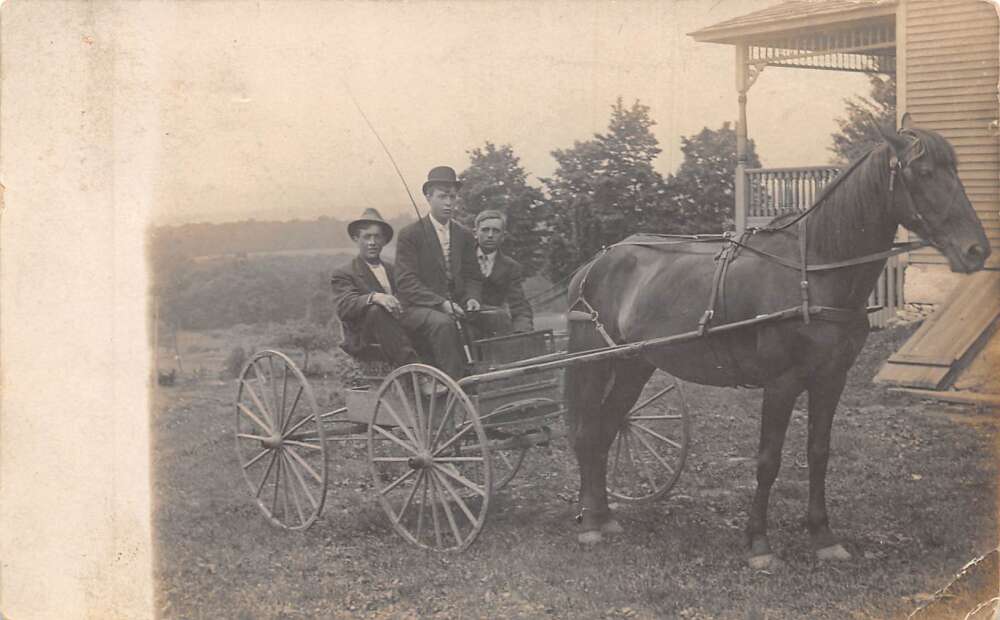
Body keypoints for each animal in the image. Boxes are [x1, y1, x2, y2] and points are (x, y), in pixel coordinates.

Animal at [563, 122, 990, 568]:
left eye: (955, 171)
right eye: (922, 172)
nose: (977, 250)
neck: (814, 270)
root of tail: (593, 264)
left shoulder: (831, 380)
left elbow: (819, 452)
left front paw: (822, 536)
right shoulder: (781, 383)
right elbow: (768, 459)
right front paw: (759, 543)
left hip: (635, 365)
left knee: (607, 428)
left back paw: (604, 516)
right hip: (594, 362)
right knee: (587, 432)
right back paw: (590, 524)